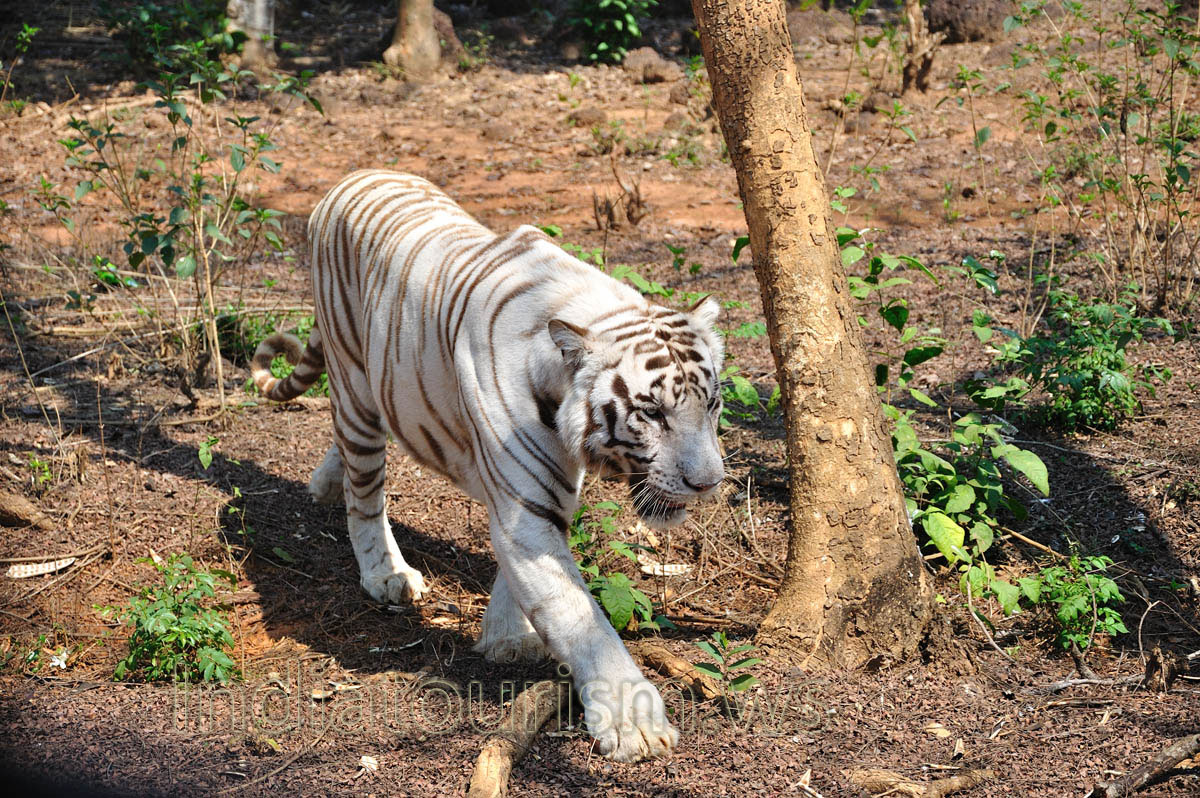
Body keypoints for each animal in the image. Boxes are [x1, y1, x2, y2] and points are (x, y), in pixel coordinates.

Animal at [250, 169, 725, 762]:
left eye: (712, 405)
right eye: (653, 413)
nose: (708, 484)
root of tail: (354, 176)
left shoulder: (538, 499)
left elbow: (517, 579)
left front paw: (506, 638)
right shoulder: (526, 510)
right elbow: (580, 618)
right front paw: (634, 723)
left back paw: (323, 484)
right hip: (357, 385)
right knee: (365, 494)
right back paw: (385, 572)